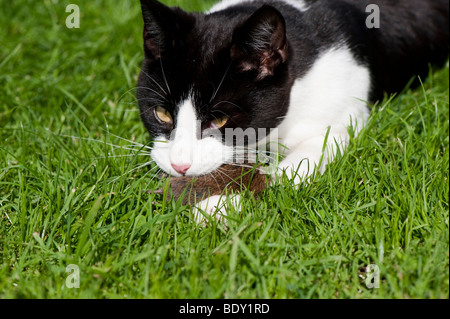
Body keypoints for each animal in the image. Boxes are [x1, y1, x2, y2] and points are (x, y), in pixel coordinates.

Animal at [135, 0, 448, 224]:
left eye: (220, 120)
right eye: (162, 114)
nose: (179, 165)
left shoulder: (342, 116)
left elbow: (296, 165)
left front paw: (220, 203)